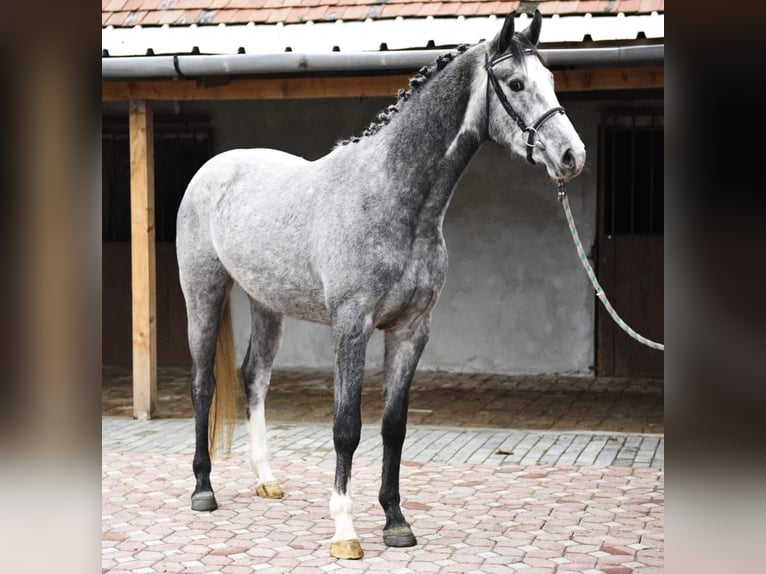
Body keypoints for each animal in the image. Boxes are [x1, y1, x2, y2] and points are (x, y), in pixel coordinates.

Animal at [176, 10, 585, 560]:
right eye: (517, 84)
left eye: (552, 80)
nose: (570, 155)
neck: (394, 198)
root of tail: (213, 169)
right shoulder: (352, 328)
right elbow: (346, 428)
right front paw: (345, 531)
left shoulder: (411, 331)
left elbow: (394, 427)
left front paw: (395, 520)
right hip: (203, 291)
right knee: (204, 384)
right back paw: (203, 489)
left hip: (267, 304)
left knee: (254, 378)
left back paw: (266, 479)